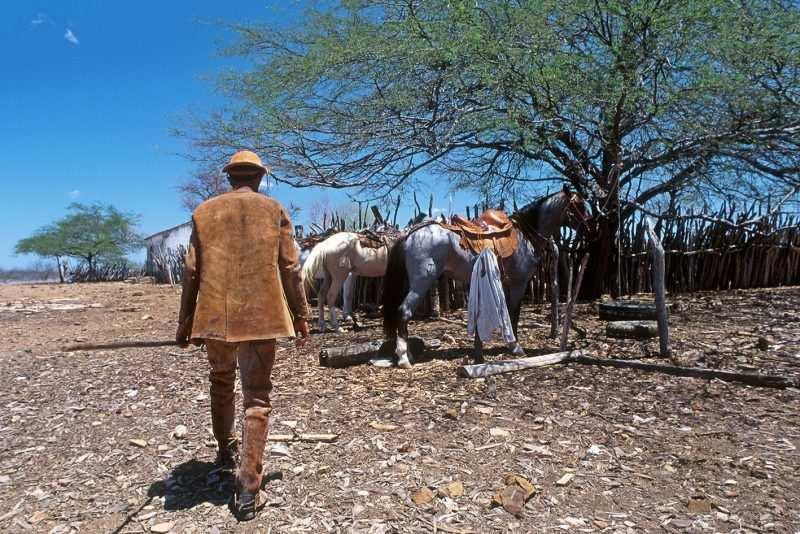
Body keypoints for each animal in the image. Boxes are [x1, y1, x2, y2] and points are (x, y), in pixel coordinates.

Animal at [382, 187, 592, 368]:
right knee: (404, 312)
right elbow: (513, 314)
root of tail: (409, 234)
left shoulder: (506, 284)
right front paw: (515, 347)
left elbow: (508, 314)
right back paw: (404, 358)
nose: (592, 227)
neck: (524, 235)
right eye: (579, 205)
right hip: (421, 282)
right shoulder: (519, 283)